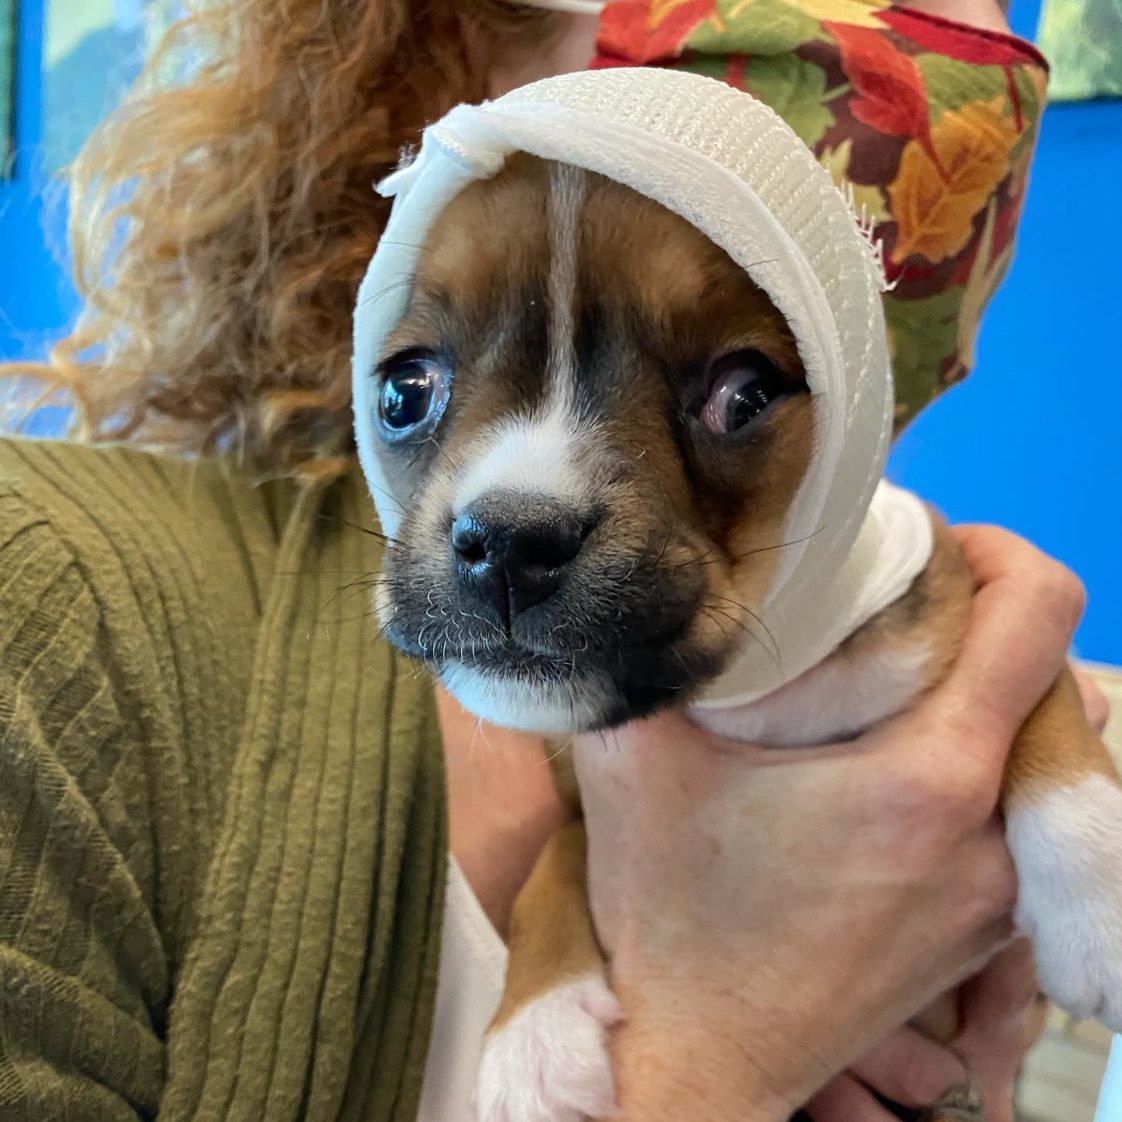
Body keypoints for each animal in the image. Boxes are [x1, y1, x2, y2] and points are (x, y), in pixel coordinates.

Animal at [363, 155, 1117, 1122]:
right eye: (404, 392)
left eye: (746, 394)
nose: (508, 541)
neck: (756, 692)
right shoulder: (578, 795)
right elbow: (555, 862)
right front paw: (532, 1032)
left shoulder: (970, 590)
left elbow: (1048, 710)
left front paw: (1096, 900)